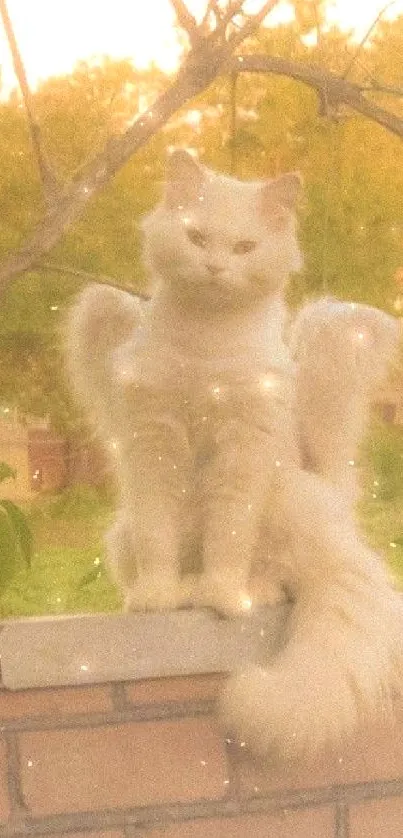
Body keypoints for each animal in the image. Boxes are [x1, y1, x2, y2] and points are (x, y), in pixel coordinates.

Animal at [66, 149, 403, 760]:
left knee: (282, 576)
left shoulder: (242, 452)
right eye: (197, 237)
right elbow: (159, 542)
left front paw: (222, 598)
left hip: (289, 497)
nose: (216, 268)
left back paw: (246, 593)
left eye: (244, 247)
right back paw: (172, 594)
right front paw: (158, 598)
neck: (206, 345)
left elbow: (227, 539)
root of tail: (332, 494)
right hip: (123, 532)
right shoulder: (154, 445)